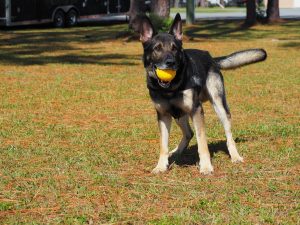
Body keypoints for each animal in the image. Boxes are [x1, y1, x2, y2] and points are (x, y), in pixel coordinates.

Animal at [135, 13, 266, 176]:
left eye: (175, 49)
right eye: (157, 49)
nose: (170, 62)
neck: (170, 89)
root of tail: (210, 58)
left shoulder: (196, 111)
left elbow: (202, 141)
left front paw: (206, 167)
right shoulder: (163, 115)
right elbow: (163, 145)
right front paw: (161, 166)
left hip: (219, 106)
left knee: (228, 135)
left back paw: (235, 156)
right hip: (178, 114)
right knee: (188, 133)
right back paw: (176, 151)